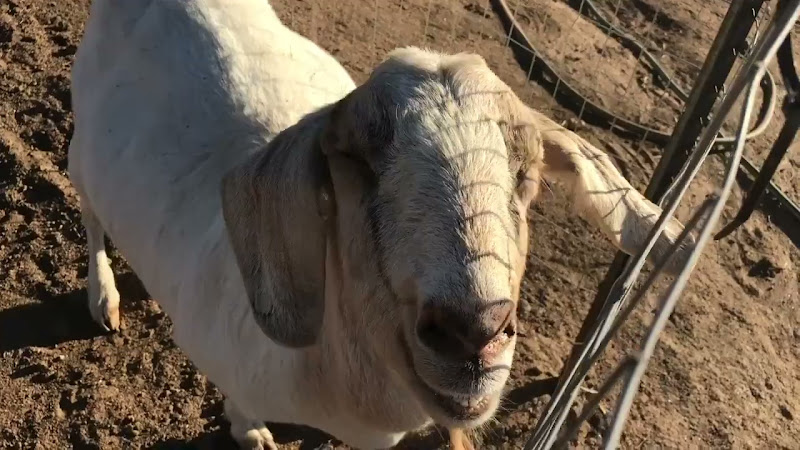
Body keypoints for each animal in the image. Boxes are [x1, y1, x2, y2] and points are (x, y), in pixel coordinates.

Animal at [68, 1, 692, 449]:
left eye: (527, 173)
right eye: (358, 162)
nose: (473, 332)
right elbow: (238, 405)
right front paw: (251, 433)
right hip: (83, 147)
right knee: (91, 212)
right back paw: (104, 296)